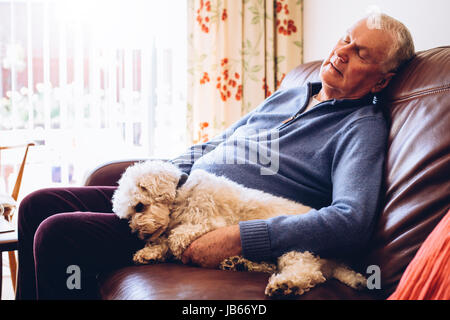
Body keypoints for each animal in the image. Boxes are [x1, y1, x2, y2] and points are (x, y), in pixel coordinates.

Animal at [111, 161, 366, 296]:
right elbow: (163, 238)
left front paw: (172, 245)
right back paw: (239, 263)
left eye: (140, 206)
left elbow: (177, 235)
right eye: (128, 215)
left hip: (297, 249)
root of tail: (338, 262)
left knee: (309, 273)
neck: (181, 194)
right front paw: (149, 252)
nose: (136, 233)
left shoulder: (211, 221)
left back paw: (286, 285)